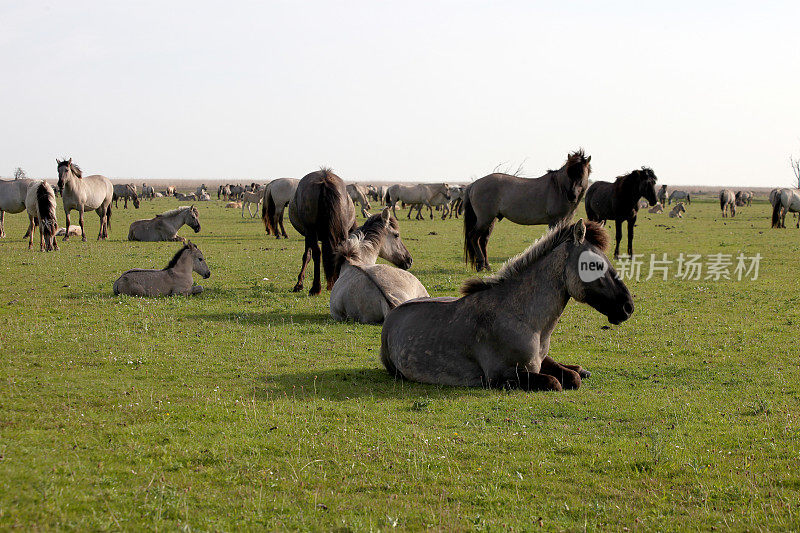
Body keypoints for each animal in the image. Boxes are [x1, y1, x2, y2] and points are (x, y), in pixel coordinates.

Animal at [284, 168, 354, 296]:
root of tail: (324, 178)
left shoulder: (308, 233)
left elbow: (306, 256)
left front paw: (299, 284)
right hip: (341, 231)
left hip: (311, 231)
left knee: (316, 254)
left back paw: (315, 287)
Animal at [378, 219, 636, 390]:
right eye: (593, 265)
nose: (627, 307)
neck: (522, 319)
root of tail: (392, 314)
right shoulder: (504, 376)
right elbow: (555, 382)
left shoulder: (538, 362)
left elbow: (572, 377)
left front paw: (578, 372)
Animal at [462, 150, 592, 272]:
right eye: (569, 173)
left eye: (582, 174)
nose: (572, 196)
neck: (559, 188)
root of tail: (474, 184)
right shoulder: (555, 221)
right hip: (484, 219)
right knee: (474, 237)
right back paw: (480, 264)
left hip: (491, 220)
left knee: (483, 240)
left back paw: (487, 266)